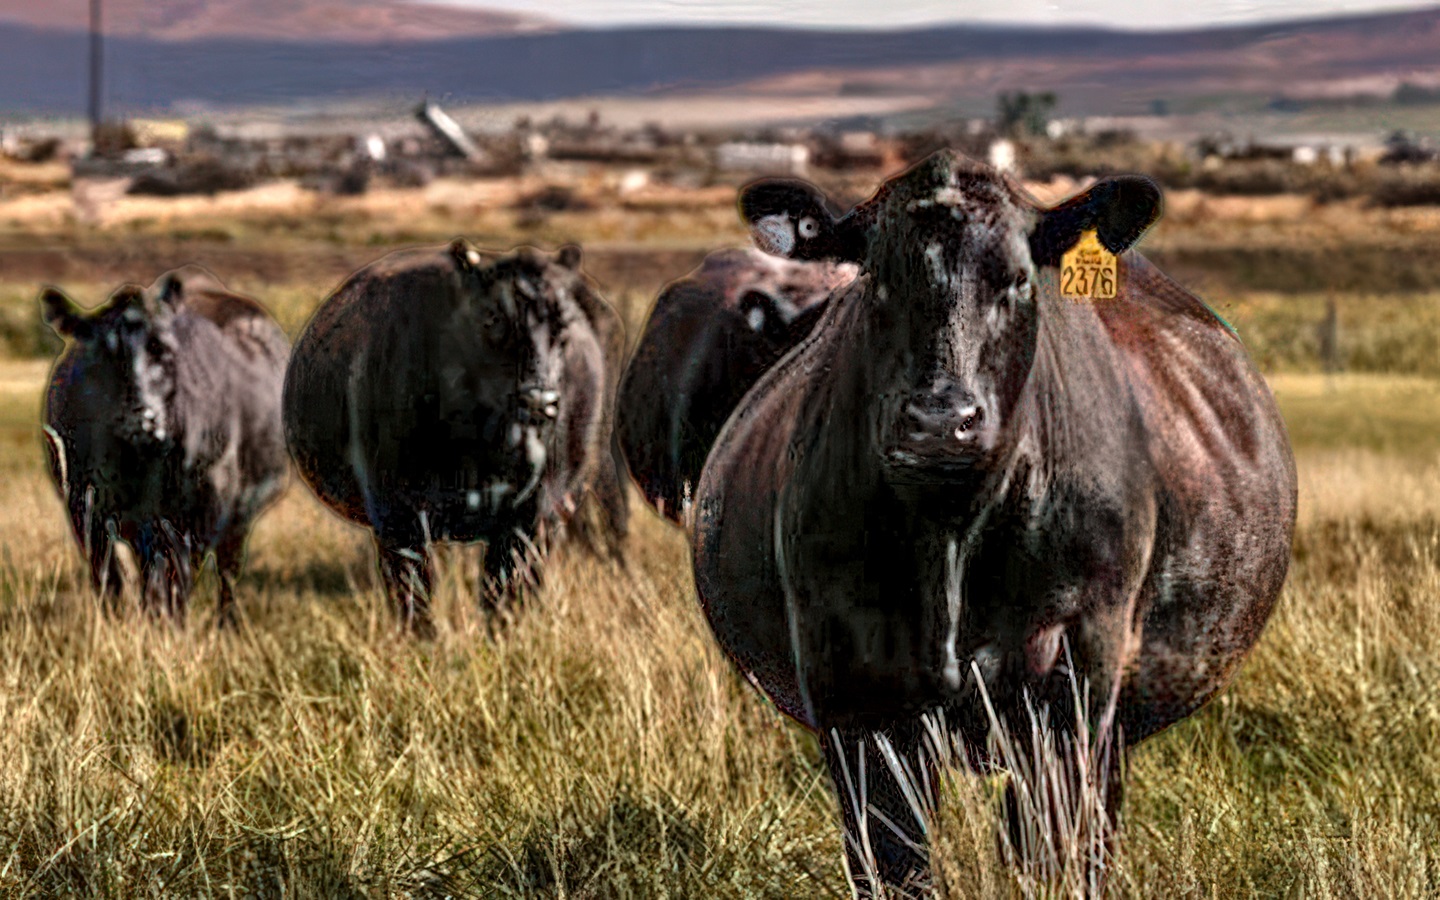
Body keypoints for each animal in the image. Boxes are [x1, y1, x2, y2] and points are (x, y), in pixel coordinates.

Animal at [41, 266, 291, 625]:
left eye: (165, 350)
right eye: (103, 353)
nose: (143, 421)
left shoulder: (204, 505)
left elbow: (180, 578)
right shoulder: (82, 504)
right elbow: (109, 577)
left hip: (239, 509)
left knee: (226, 569)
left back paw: (226, 623)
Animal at [282, 240, 627, 635]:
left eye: (564, 322)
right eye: (492, 318)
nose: (540, 400)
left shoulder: (535, 513)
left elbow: (506, 594)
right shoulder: (396, 514)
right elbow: (414, 596)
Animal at [692, 150, 1296, 894]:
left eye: (1017, 280)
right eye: (876, 280)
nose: (941, 420)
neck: (952, 535)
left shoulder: (1070, 682)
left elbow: (1051, 852)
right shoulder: (854, 693)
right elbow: (893, 861)